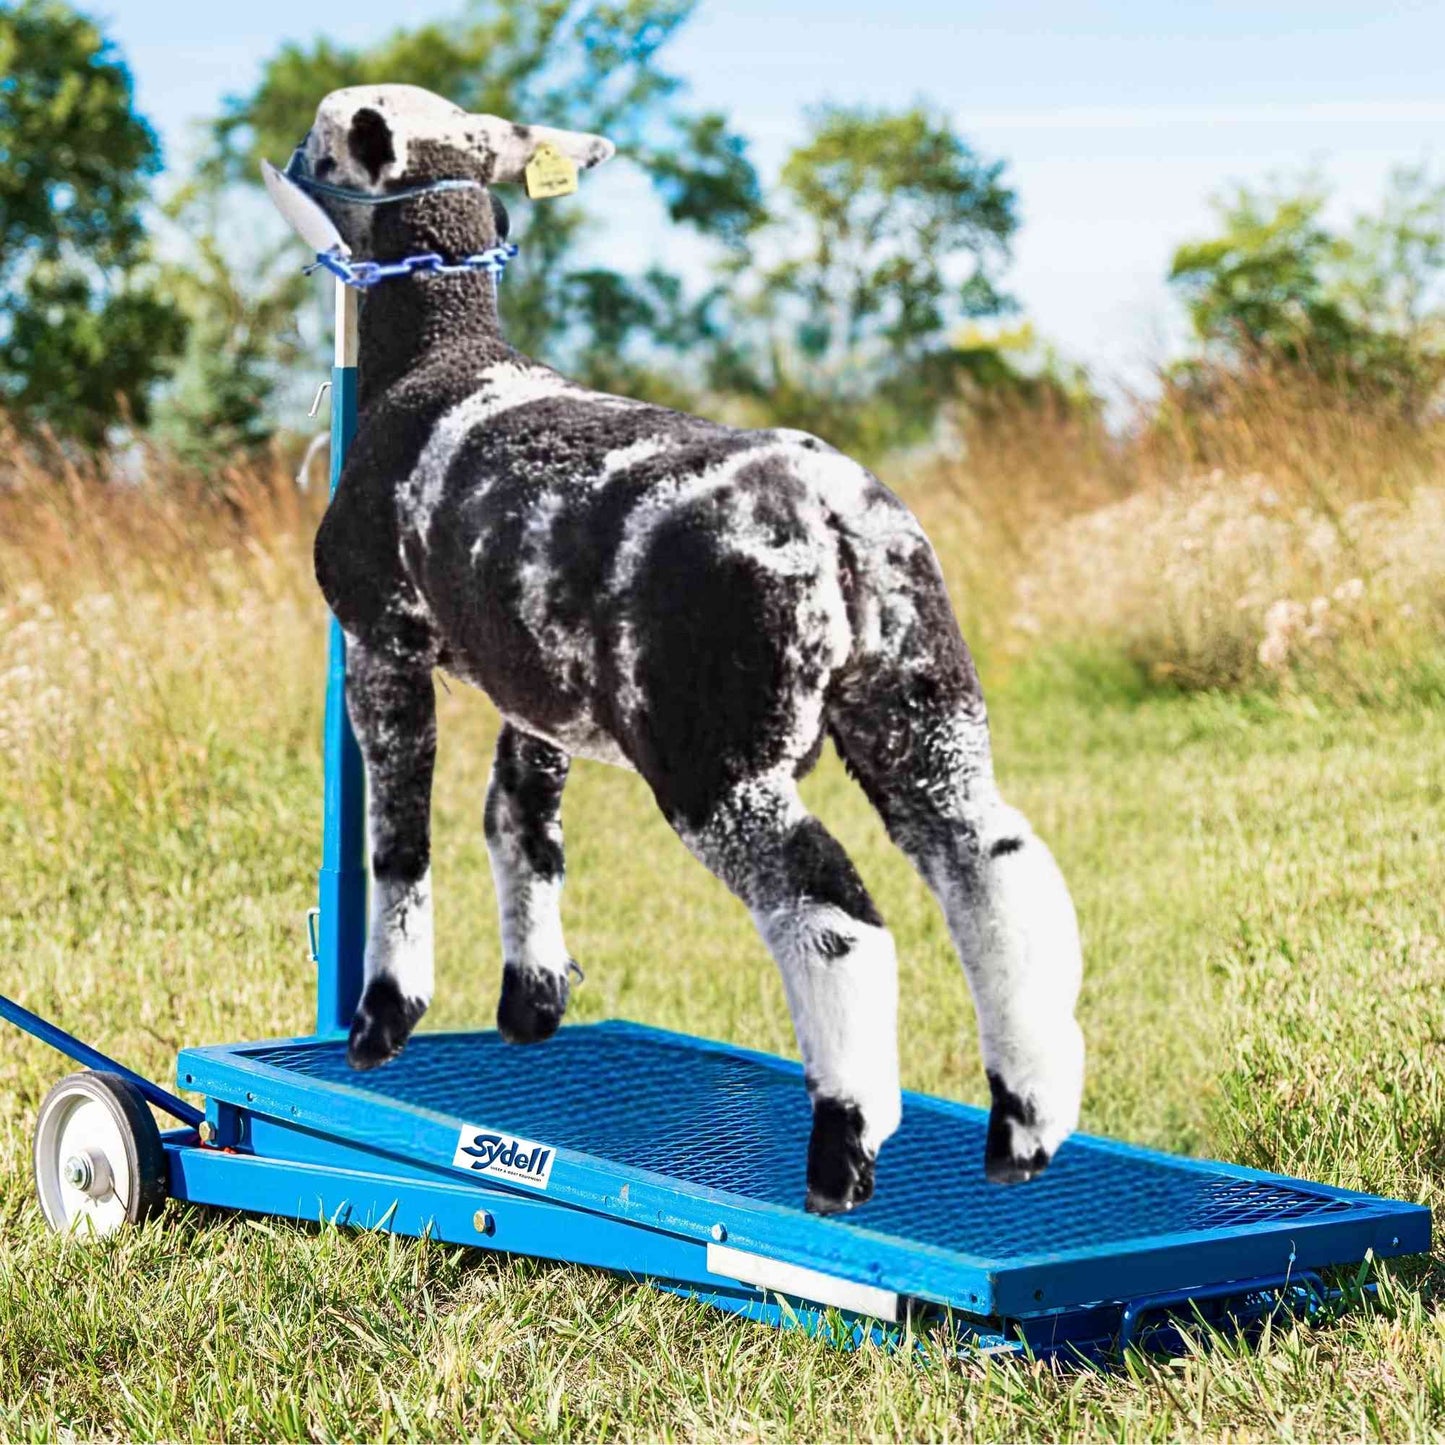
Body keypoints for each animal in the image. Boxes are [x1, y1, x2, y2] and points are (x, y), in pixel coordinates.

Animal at [284, 84, 1085, 1214]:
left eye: (320, 140)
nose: (288, 164)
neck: (439, 357)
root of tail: (832, 519)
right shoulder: (537, 684)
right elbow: (522, 825)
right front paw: (531, 1001)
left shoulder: (378, 635)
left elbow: (399, 842)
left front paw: (383, 1017)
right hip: (919, 706)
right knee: (995, 869)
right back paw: (1023, 1126)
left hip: (715, 751)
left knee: (834, 914)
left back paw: (843, 1151)